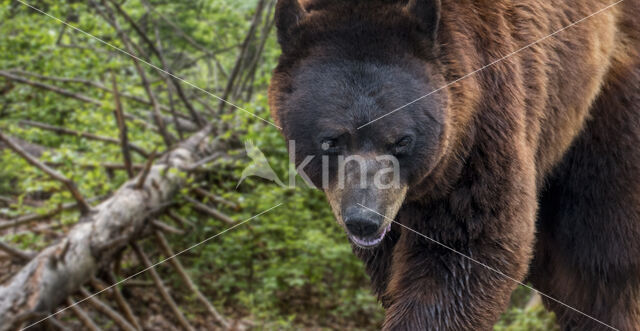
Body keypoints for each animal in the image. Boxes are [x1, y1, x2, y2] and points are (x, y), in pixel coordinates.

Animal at [266, 0, 640, 330]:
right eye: (331, 140)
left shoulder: (480, 124)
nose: (364, 220)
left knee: (595, 254)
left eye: (402, 140)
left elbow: (466, 249)